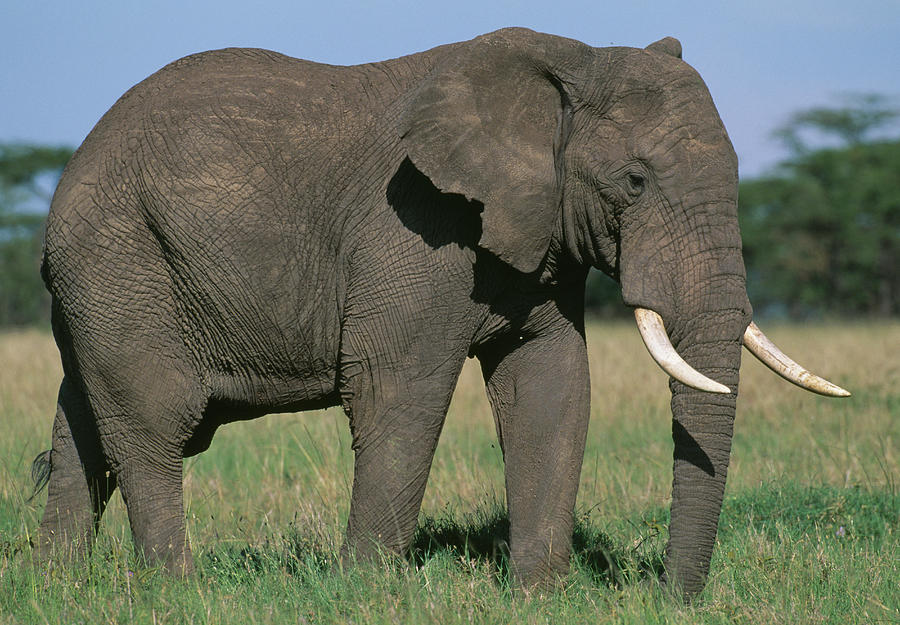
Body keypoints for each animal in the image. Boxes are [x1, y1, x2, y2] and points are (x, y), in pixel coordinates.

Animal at [34, 27, 848, 599]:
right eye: (636, 181)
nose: (669, 598)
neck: (570, 61)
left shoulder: (540, 234)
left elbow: (553, 384)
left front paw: (541, 597)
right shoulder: (414, 226)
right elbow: (398, 391)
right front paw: (364, 593)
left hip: (102, 279)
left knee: (83, 420)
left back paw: (65, 586)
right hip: (120, 256)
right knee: (152, 422)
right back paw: (178, 590)